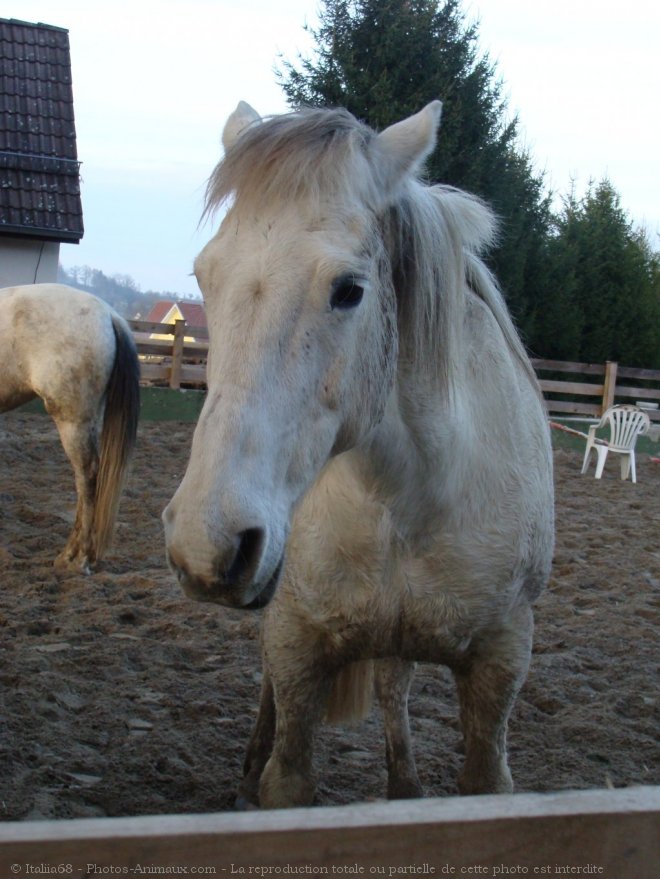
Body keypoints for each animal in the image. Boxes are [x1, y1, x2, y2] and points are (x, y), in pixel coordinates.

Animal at [162, 99, 556, 808]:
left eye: (349, 289)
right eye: (206, 275)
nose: (206, 544)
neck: (404, 496)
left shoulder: (503, 655)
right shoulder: (295, 643)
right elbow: (287, 771)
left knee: (393, 686)